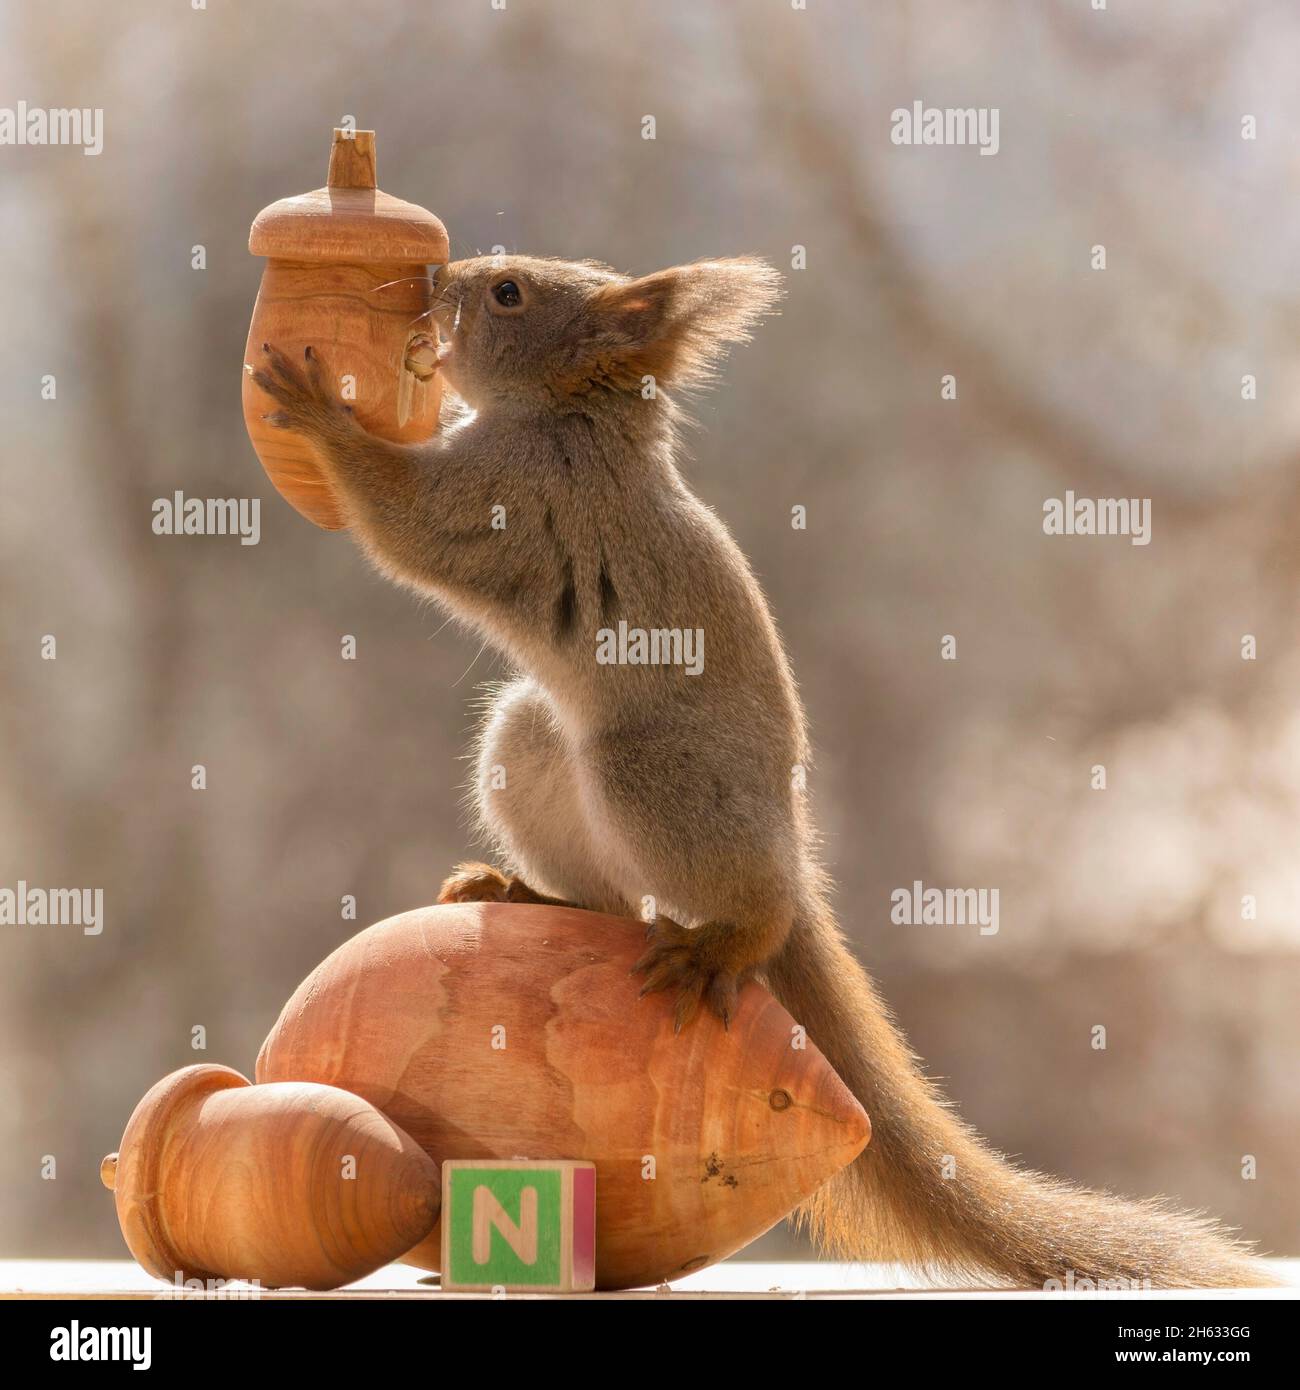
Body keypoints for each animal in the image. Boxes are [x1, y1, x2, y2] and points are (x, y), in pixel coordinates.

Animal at [251, 255, 1273, 1284]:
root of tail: (789, 848)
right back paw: (523, 892)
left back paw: (726, 942)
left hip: (648, 775)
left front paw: (318, 411)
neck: (570, 418)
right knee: (611, 901)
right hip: (533, 746)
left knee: (742, 906)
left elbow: (405, 522)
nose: (435, 278)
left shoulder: (511, 499)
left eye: (508, 293)